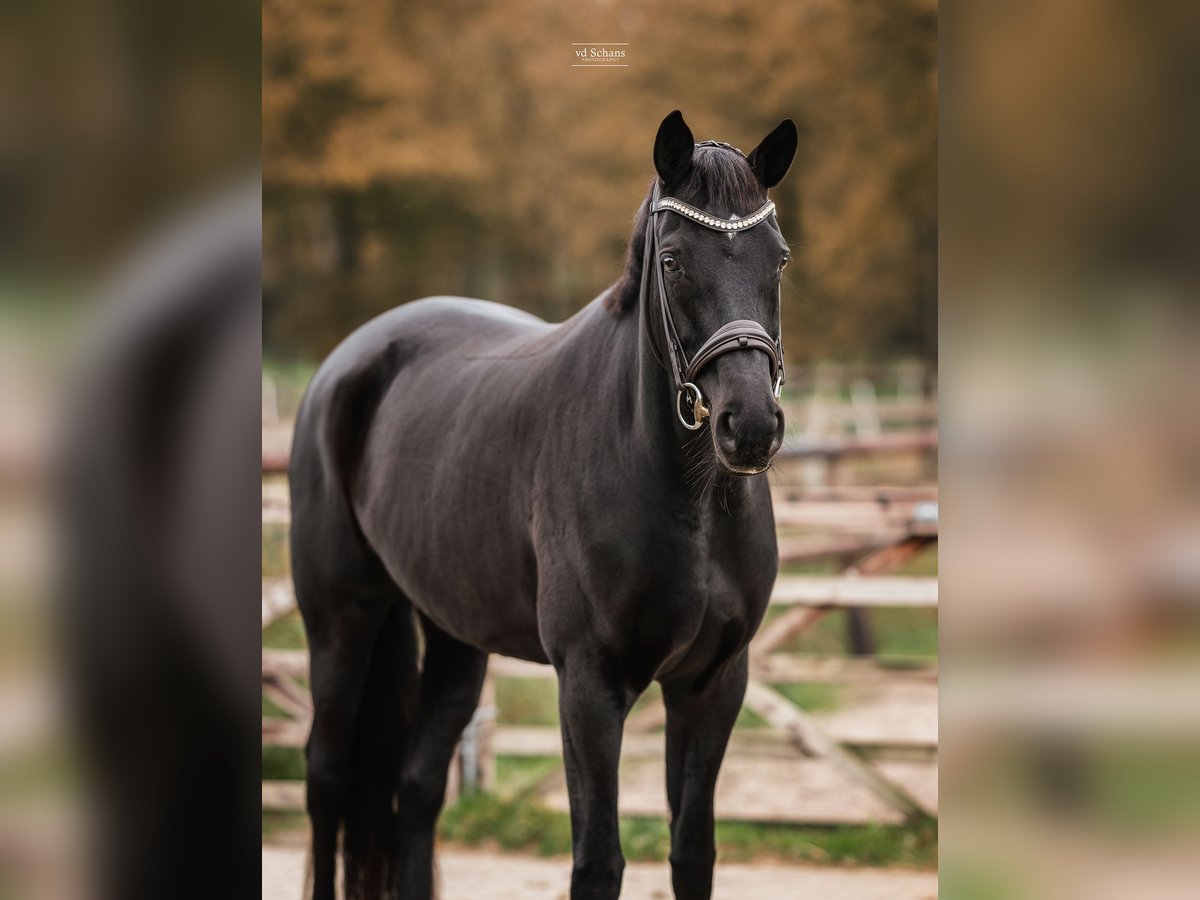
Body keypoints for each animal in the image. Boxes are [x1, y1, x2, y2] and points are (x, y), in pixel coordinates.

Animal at [290, 112, 796, 900]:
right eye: (674, 262)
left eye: (778, 260)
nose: (748, 426)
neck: (691, 505)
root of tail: (347, 363)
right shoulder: (588, 685)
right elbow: (597, 863)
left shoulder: (712, 683)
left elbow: (692, 853)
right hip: (341, 621)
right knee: (328, 780)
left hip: (455, 636)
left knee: (417, 789)